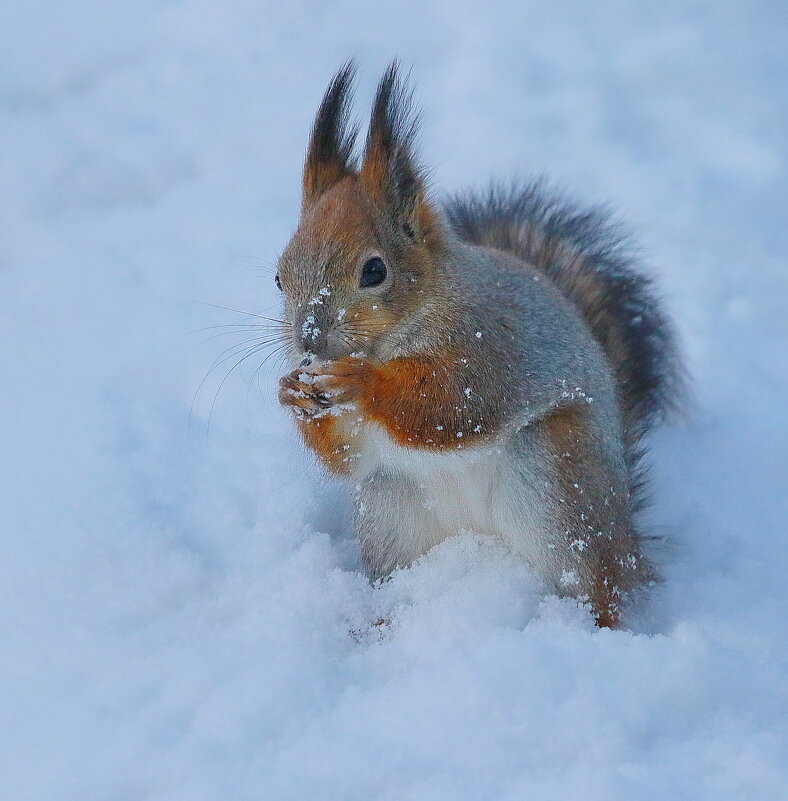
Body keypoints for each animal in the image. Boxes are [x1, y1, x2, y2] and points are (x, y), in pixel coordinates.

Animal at [274, 64, 680, 624]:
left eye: (374, 271)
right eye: (278, 276)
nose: (309, 341)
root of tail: (628, 545)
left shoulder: (492, 346)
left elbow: (451, 407)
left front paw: (361, 381)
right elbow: (346, 457)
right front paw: (293, 392)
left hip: (556, 482)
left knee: (594, 584)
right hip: (390, 511)